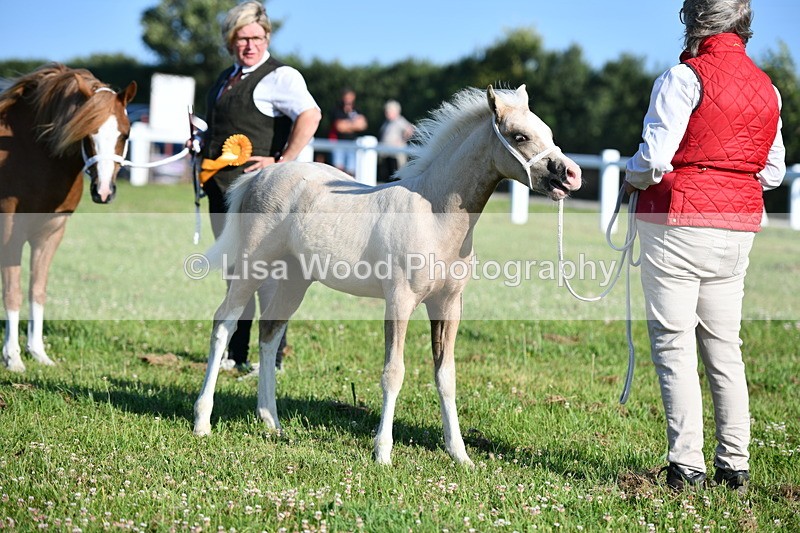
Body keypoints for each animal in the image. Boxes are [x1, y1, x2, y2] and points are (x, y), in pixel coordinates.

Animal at [0, 63, 136, 372]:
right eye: (86, 134)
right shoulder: (10, 232)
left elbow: (37, 289)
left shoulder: (51, 233)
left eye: (125, 134)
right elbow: (12, 292)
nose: (104, 191)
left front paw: (38, 352)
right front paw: (13, 357)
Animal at [193, 85, 582, 466]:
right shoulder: (400, 301)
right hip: (251, 268)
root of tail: (259, 175)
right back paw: (202, 421)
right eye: (520, 136)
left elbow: (446, 376)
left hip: (294, 280)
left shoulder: (448, 305)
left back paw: (272, 422)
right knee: (224, 324)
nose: (572, 174)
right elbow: (393, 373)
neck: (435, 216)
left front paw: (460, 454)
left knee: (270, 335)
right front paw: (383, 452)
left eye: (548, 132)